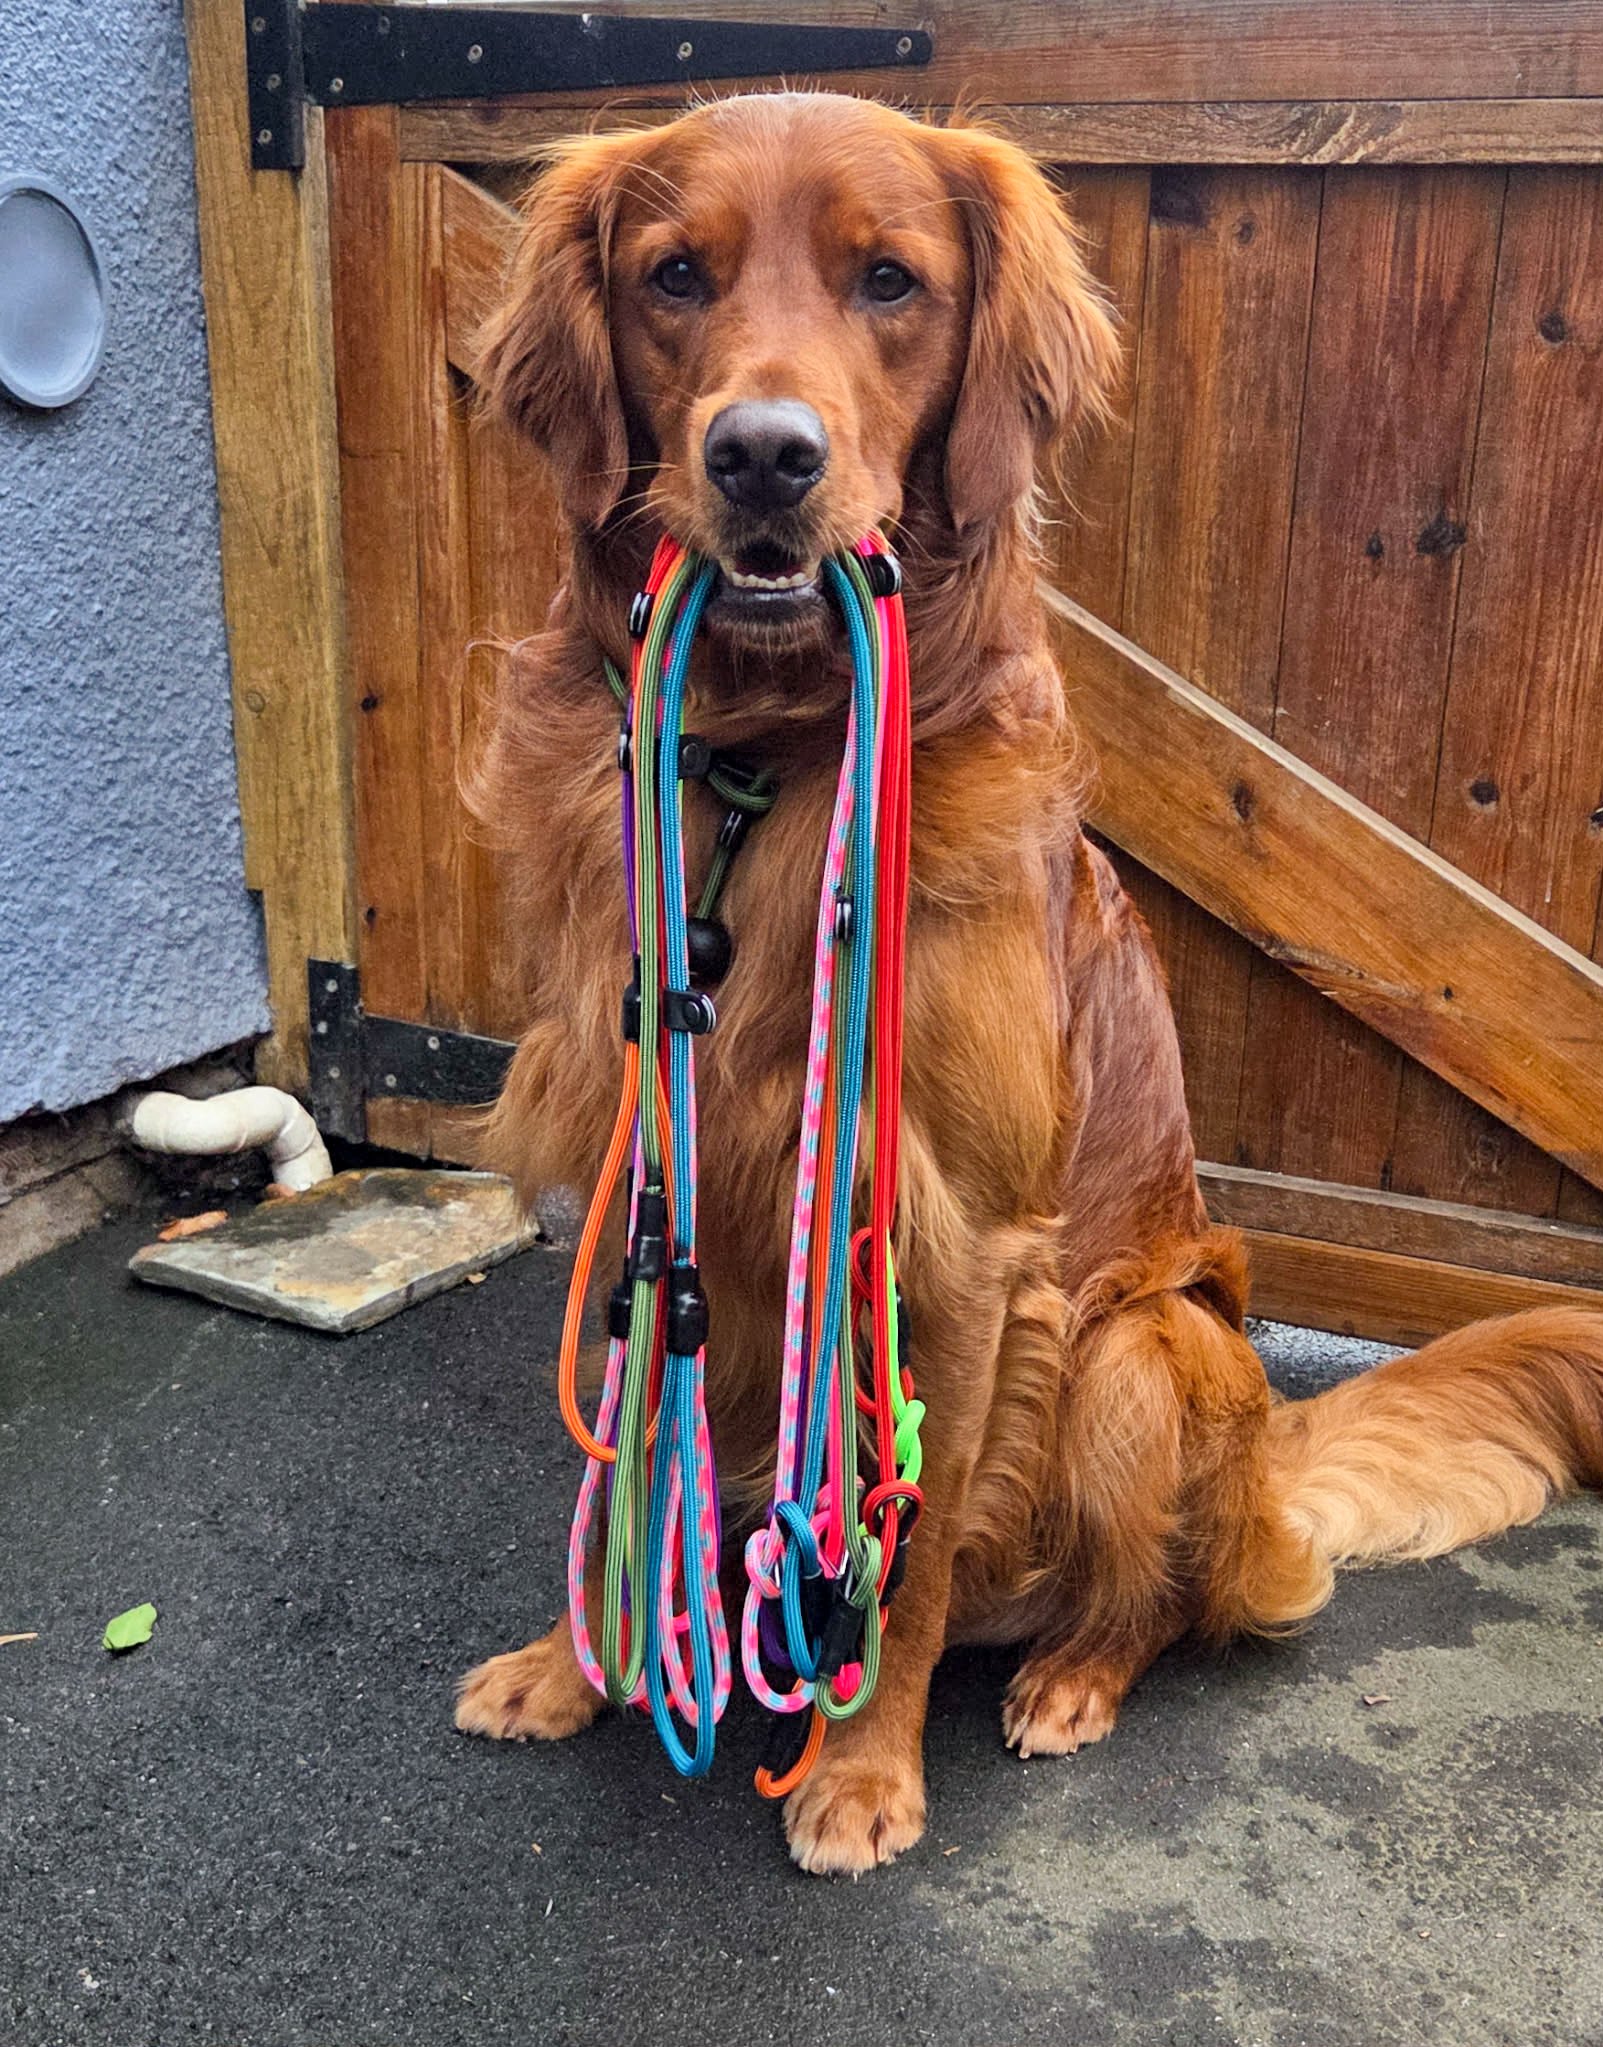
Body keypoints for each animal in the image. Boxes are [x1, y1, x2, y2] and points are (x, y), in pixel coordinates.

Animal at [453, 91, 1603, 1875]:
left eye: (886, 280)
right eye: (671, 276)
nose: (761, 454)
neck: (765, 759)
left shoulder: (960, 1240)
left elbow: (909, 1548)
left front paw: (862, 1767)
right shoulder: (649, 1180)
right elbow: (632, 1447)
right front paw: (575, 1664)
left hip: (1140, 1348)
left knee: (1159, 1600)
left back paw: (1068, 1674)